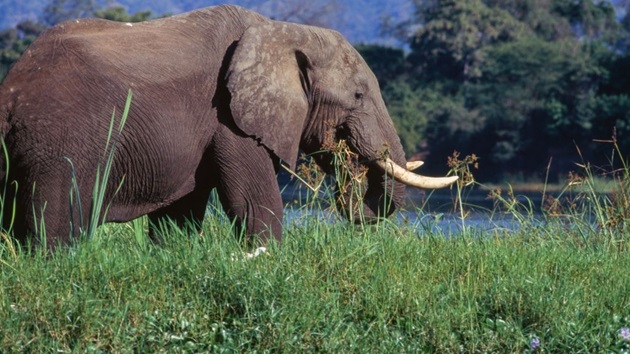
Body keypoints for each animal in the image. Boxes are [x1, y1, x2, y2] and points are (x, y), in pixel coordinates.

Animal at [0, 5, 456, 249]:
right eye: (358, 96)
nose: (353, 192)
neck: (281, 30)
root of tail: (10, 90)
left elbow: (181, 214)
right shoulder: (229, 118)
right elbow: (255, 203)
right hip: (60, 144)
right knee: (55, 226)